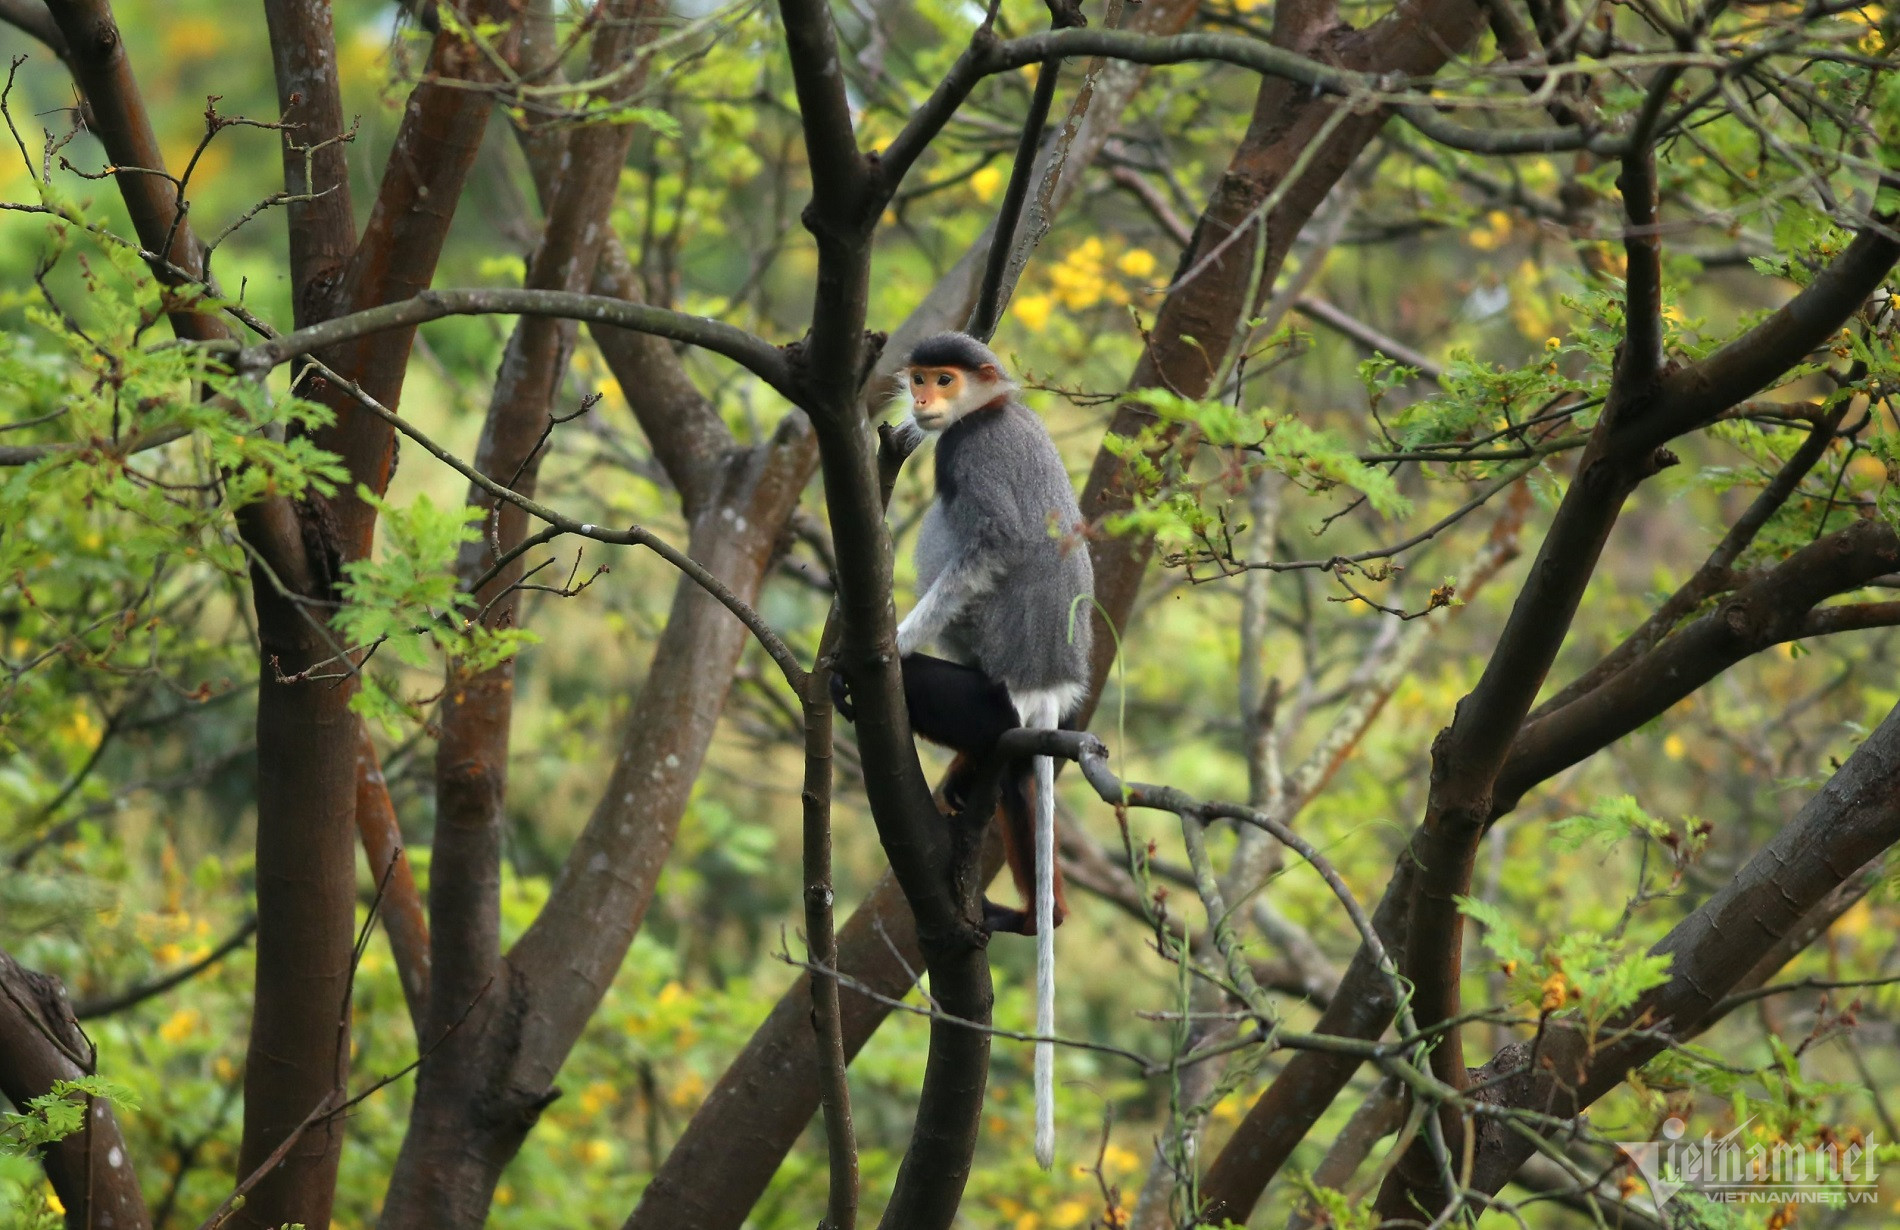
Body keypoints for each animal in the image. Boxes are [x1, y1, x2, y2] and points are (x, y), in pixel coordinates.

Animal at [836, 328, 1094, 1171]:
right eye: (920, 378)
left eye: (943, 380)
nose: (921, 399)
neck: (992, 407)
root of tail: (1045, 689)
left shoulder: (968, 453)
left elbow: (994, 546)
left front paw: (876, 650)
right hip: (1002, 720)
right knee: (1014, 781)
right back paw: (1038, 906)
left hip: (981, 700)